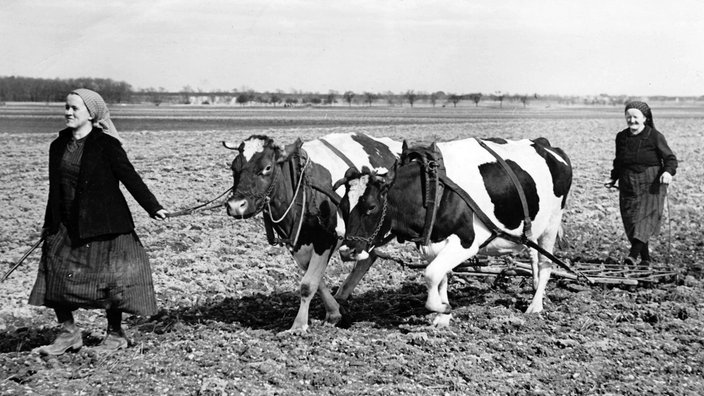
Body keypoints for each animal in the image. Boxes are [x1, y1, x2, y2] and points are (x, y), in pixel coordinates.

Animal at [226, 133, 402, 334]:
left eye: (267, 167)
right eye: (234, 167)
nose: (235, 205)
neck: (302, 186)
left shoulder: (325, 240)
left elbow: (307, 285)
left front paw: (299, 325)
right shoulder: (298, 246)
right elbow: (317, 282)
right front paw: (334, 312)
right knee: (367, 258)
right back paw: (342, 295)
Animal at [338, 138, 576, 326]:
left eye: (371, 207)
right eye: (342, 206)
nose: (346, 251)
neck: (432, 190)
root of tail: (547, 145)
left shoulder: (466, 242)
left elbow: (431, 274)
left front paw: (441, 308)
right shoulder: (432, 243)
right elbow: (441, 276)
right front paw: (443, 315)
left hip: (552, 223)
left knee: (546, 264)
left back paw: (535, 306)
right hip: (534, 228)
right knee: (534, 256)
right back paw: (534, 289)